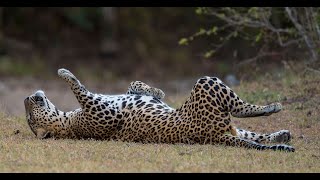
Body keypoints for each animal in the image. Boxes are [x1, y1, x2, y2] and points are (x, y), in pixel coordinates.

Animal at [23, 68, 296, 152]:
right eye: (29, 114)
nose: (29, 96)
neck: (67, 120)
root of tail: (210, 137)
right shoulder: (97, 108)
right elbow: (77, 86)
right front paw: (64, 72)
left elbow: (134, 84)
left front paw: (156, 91)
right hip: (206, 83)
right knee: (245, 109)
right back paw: (273, 106)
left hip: (232, 127)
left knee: (254, 135)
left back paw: (282, 134)